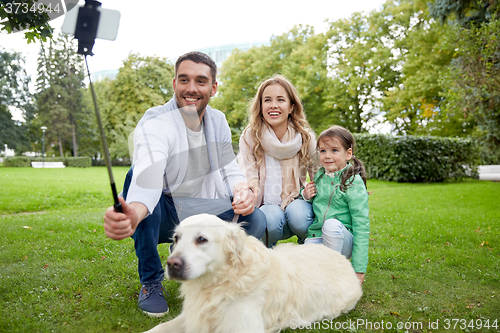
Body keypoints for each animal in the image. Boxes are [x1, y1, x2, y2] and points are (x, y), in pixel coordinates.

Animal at [143, 213, 362, 332]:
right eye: (176, 238)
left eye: (202, 239)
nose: (171, 264)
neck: (219, 283)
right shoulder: (193, 315)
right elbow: (160, 327)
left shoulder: (241, 327)